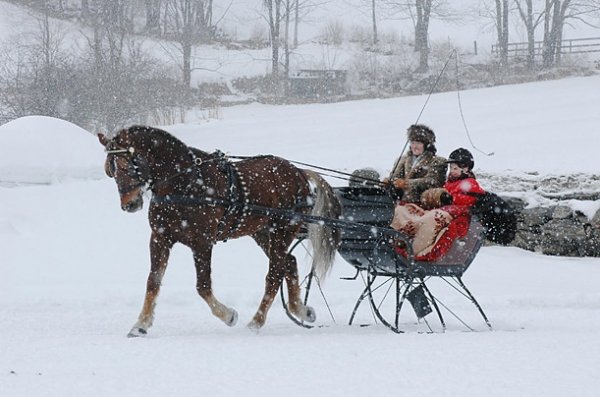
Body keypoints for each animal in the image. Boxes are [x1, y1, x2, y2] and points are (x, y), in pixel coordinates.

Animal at [99, 125, 342, 336]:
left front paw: (228, 315)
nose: (129, 205)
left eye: (127, 165)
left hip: (282, 230)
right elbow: (153, 282)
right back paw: (301, 310)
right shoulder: (160, 237)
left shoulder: (202, 242)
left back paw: (256, 322)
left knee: (274, 275)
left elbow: (203, 286)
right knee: (288, 263)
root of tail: (298, 172)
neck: (185, 182)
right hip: (263, 233)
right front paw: (140, 324)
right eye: (110, 171)